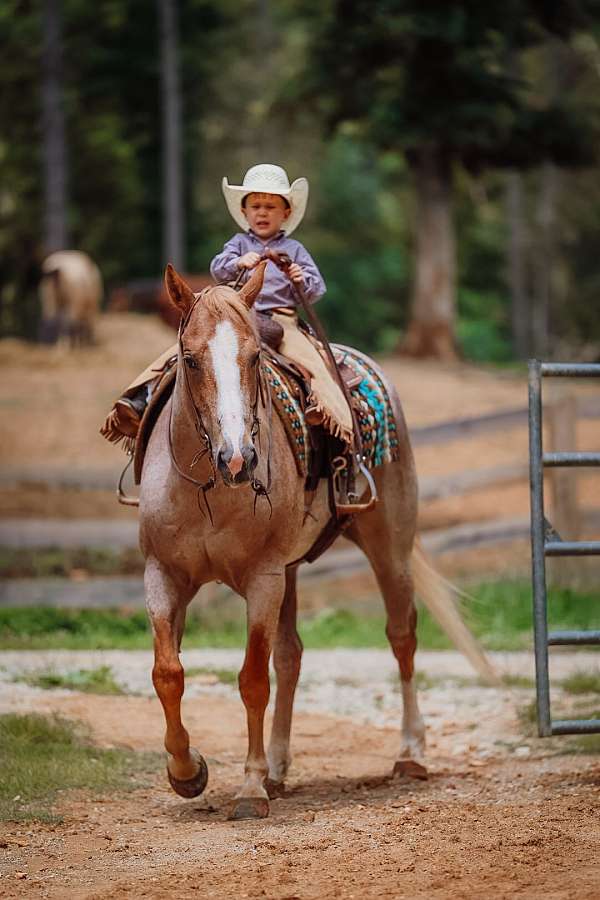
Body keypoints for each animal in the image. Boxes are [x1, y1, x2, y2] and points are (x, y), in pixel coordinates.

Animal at [140, 261, 494, 820]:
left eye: (253, 357)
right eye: (190, 359)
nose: (237, 458)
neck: (212, 490)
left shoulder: (262, 579)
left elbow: (252, 680)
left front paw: (249, 788)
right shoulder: (163, 574)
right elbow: (168, 672)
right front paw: (187, 771)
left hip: (388, 548)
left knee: (402, 637)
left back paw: (410, 754)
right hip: (289, 573)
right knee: (291, 654)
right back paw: (281, 768)